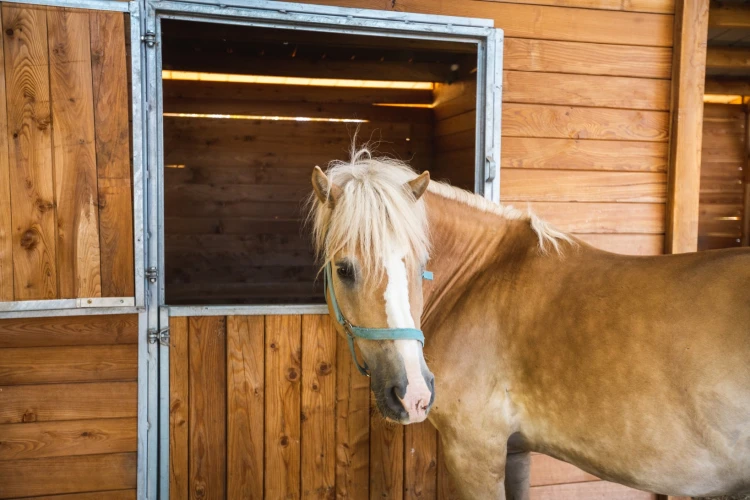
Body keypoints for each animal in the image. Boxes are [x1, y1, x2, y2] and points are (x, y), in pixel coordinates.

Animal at [306, 146, 750, 498]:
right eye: (344, 269)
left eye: (418, 265)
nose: (412, 393)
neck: (480, 277)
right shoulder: (515, 450)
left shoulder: (474, 450)